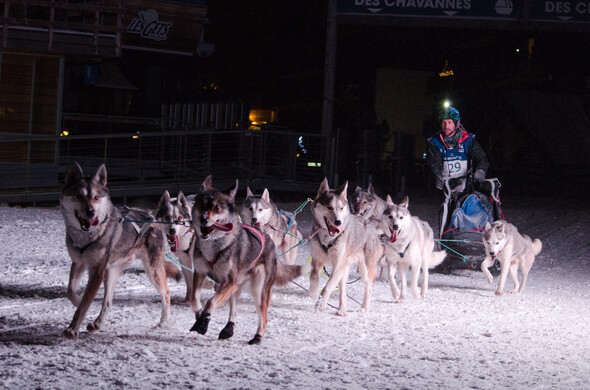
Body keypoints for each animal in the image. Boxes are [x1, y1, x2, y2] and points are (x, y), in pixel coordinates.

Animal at [60, 161, 182, 338]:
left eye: (96, 197)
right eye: (79, 196)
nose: (91, 212)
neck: (87, 236)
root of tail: (152, 217)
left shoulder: (96, 271)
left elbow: (85, 303)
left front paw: (73, 327)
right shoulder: (78, 263)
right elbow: (71, 292)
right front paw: (78, 300)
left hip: (152, 270)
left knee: (166, 293)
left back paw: (163, 323)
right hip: (110, 272)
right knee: (108, 302)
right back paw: (97, 323)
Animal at [191, 177, 310, 344]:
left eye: (218, 207)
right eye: (201, 204)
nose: (203, 219)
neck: (215, 244)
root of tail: (263, 234)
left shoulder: (229, 281)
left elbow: (211, 302)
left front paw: (203, 321)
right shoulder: (200, 273)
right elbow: (194, 300)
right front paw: (199, 318)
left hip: (258, 290)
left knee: (263, 318)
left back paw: (257, 336)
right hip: (235, 285)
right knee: (233, 310)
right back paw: (228, 328)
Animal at [310, 178, 384, 316]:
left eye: (341, 208)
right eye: (329, 207)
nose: (338, 222)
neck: (328, 238)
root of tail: (370, 225)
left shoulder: (338, 266)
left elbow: (327, 288)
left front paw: (319, 305)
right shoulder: (317, 261)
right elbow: (313, 277)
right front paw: (313, 291)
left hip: (364, 270)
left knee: (368, 287)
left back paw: (364, 307)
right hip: (345, 269)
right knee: (343, 291)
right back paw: (342, 309)